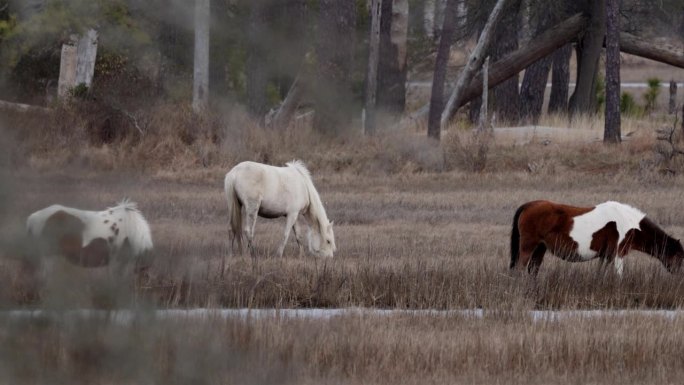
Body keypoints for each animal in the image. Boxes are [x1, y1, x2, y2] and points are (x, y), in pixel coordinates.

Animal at [510, 201, 680, 276]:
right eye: (679, 257)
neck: (628, 222)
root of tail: (529, 205)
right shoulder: (618, 254)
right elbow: (619, 275)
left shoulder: (606, 256)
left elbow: (601, 273)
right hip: (528, 246)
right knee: (520, 268)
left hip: (540, 248)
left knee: (533, 270)